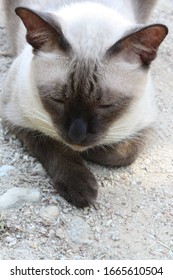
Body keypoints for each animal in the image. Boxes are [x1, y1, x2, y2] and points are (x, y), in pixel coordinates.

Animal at [0, 0, 168, 208]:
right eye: (58, 100)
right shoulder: (15, 117)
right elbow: (55, 146)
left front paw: (89, 152)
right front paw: (80, 187)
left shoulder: (146, 123)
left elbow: (124, 154)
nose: (76, 135)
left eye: (106, 105)